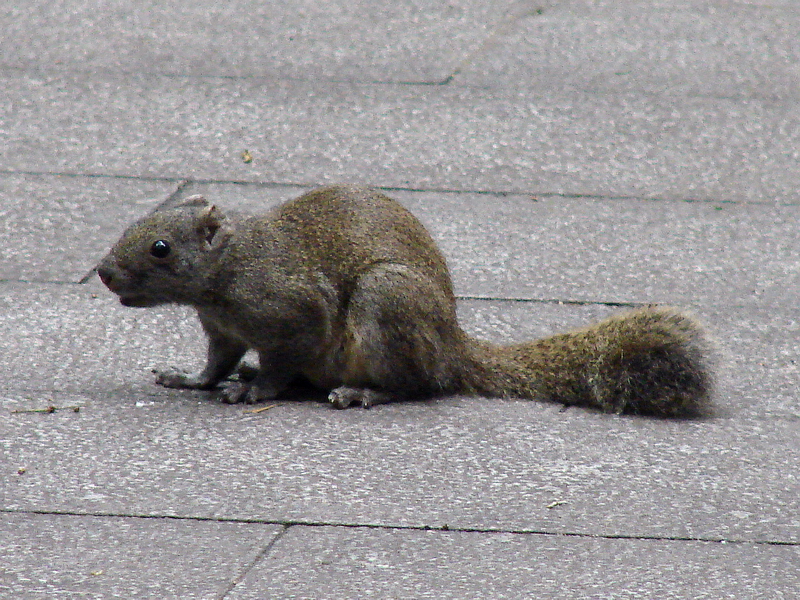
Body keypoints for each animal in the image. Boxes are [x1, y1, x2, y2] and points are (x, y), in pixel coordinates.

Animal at [97, 184, 712, 417]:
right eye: (133, 221)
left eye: (160, 248)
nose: (102, 273)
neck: (226, 273)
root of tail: (451, 345)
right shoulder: (221, 328)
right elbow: (215, 362)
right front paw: (189, 378)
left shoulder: (292, 311)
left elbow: (282, 357)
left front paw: (255, 390)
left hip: (387, 302)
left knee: (418, 384)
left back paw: (363, 392)